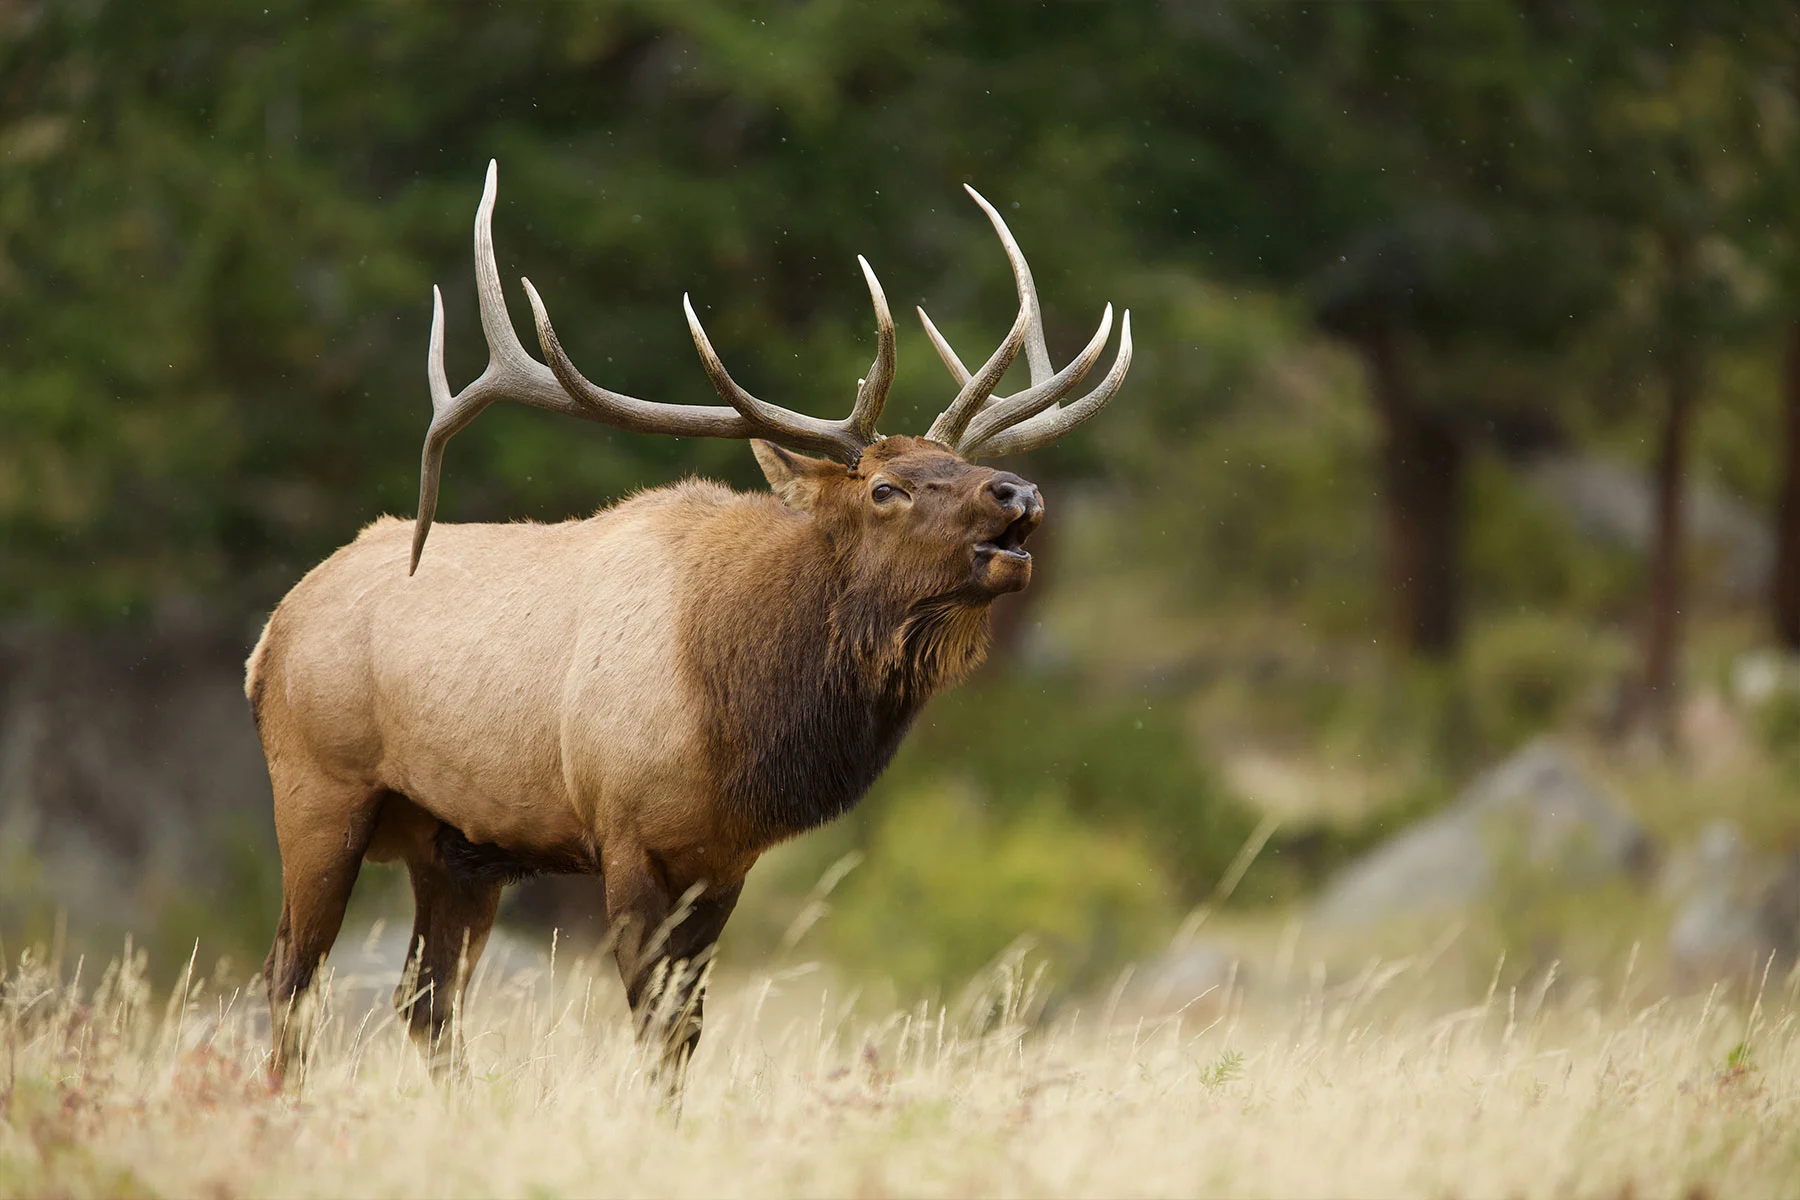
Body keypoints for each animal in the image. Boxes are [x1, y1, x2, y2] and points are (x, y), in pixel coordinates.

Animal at [246, 154, 1130, 1086]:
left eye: (955, 464)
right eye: (886, 489)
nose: (1019, 493)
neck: (740, 718)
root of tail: (270, 635)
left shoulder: (723, 862)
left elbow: (687, 1030)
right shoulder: (625, 833)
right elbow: (653, 1023)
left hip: (452, 844)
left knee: (424, 998)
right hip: (318, 790)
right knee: (292, 975)